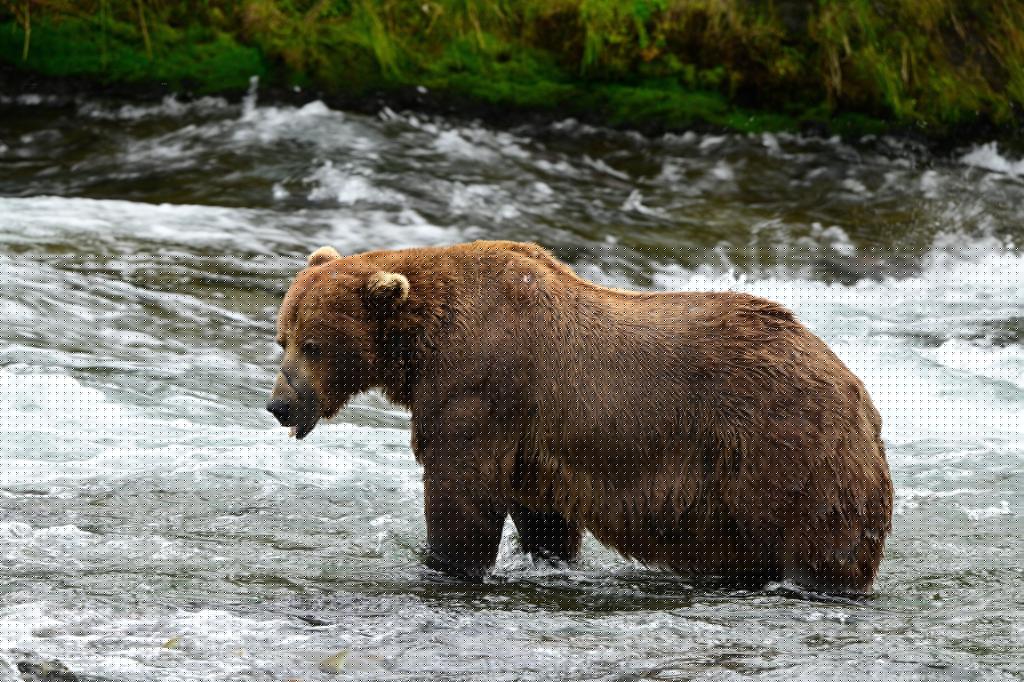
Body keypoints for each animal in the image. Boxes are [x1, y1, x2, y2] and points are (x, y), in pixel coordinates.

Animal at [267, 240, 893, 593]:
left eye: (313, 345)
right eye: (283, 338)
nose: (279, 404)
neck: (420, 345)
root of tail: (858, 391)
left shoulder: (478, 389)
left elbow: (461, 494)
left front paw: (443, 563)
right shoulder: (532, 442)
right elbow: (542, 514)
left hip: (784, 449)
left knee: (819, 541)